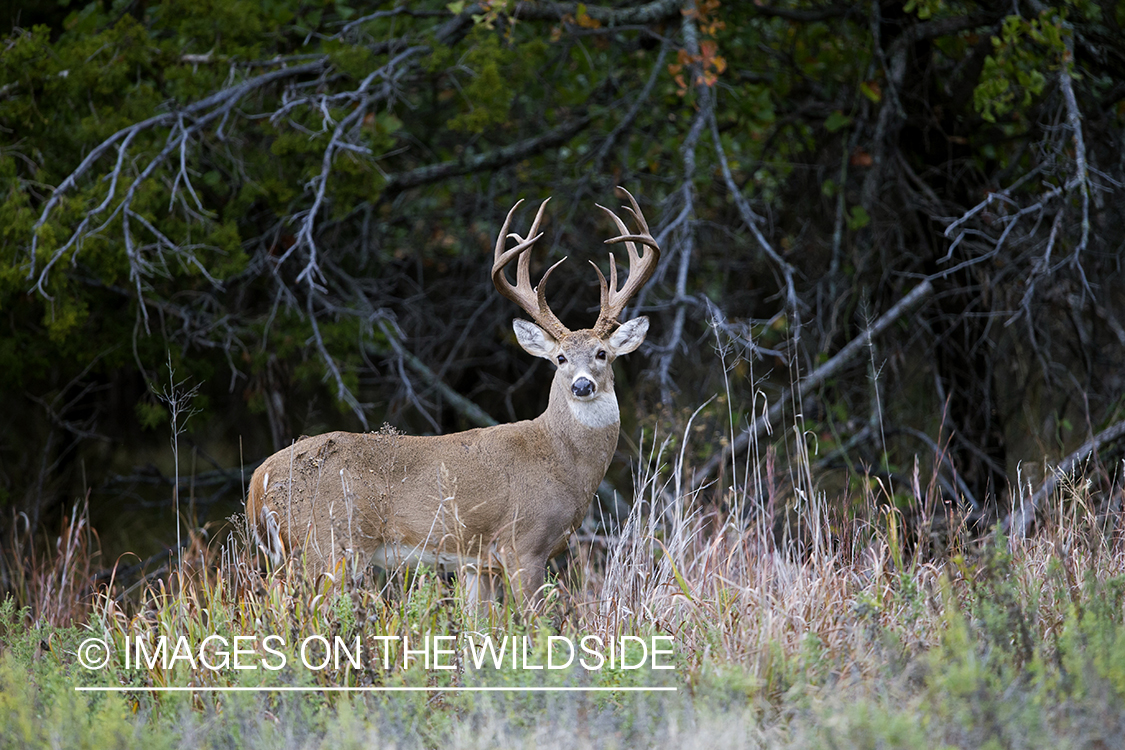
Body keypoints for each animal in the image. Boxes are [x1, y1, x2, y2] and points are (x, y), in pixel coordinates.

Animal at [241, 187, 657, 611]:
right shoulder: (523, 542)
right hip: (329, 543)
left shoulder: (477, 562)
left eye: (602, 354)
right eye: (560, 358)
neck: (561, 460)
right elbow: (533, 619)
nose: (582, 386)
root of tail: (258, 481)